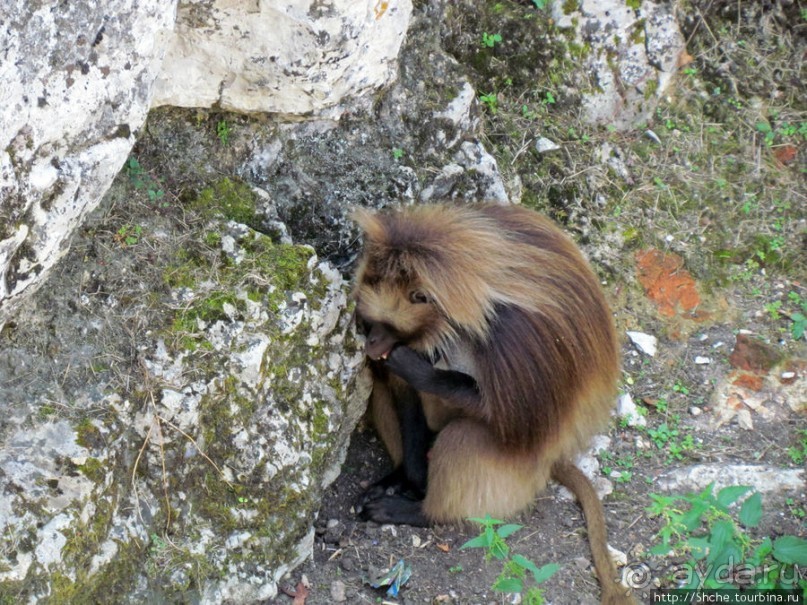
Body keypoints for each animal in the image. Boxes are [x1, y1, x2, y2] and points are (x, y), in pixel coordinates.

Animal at [354, 204, 636, 604]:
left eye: (388, 326)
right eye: (370, 321)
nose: (371, 343)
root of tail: (551, 460)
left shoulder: (512, 336)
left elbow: (518, 420)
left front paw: (416, 369)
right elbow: (401, 390)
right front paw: (410, 478)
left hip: (518, 467)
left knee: (465, 435)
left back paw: (421, 512)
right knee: (381, 390)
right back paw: (399, 478)